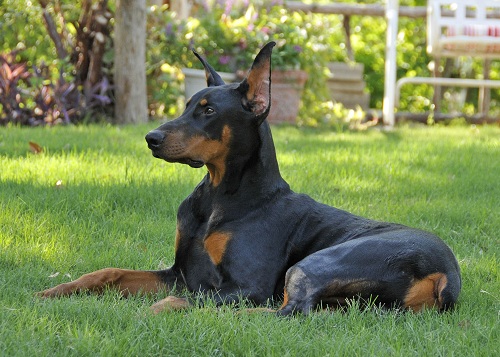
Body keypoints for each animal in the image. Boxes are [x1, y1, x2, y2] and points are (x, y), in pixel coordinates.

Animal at [38, 42, 460, 314]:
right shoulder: (180, 273)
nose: (151, 138)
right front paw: (56, 290)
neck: (217, 198)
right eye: (186, 105)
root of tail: (448, 275)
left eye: (208, 110)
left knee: (287, 312)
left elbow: (186, 299)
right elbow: (109, 272)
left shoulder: (242, 287)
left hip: (315, 263)